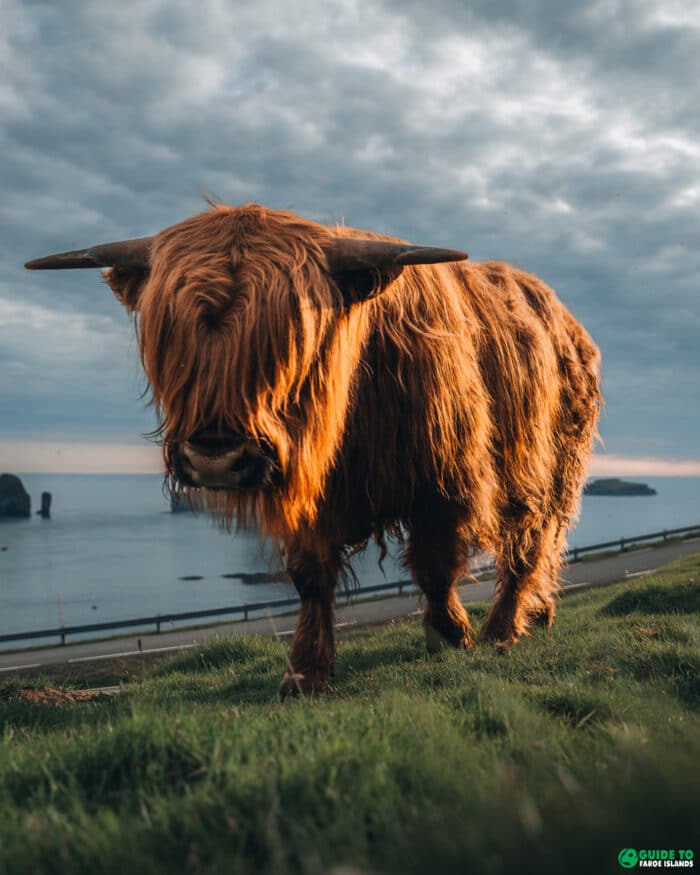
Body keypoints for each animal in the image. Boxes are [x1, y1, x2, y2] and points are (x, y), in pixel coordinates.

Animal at [26, 202, 601, 696]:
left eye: (288, 340)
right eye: (171, 338)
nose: (216, 457)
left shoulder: (442, 480)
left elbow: (435, 567)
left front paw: (451, 634)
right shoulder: (308, 496)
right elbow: (310, 578)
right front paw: (305, 672)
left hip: (549, 468)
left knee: (530, 543)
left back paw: (504, 629)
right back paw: (538, 615)